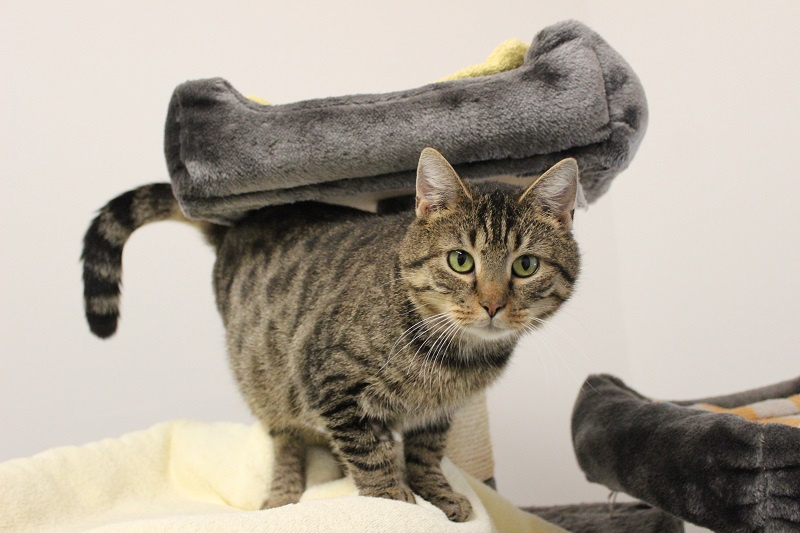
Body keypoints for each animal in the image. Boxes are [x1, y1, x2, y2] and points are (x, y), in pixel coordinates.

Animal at [81, 148, 581, 522]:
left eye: (525, 265)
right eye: (461, 260)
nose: (493, 305)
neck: (456, 358)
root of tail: (235, 227)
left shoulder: (439, 414)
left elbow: (425, 455)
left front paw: (436, 494)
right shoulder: (331, 383)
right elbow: (371, 456)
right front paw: (394, 501)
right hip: (265, 374)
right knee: (284, 440)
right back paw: (284, 494)